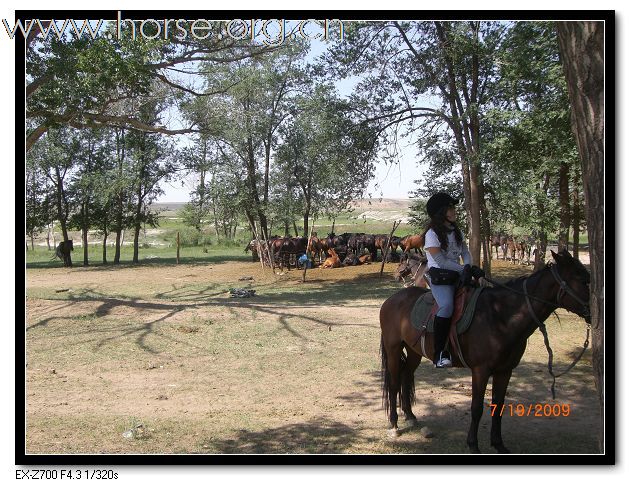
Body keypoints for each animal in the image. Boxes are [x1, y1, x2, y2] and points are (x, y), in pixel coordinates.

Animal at [380, 251, 592, 452]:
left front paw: (498, 444)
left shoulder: (505, 371)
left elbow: (498, 406)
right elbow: (476, 408)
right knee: (394, 382)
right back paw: (394, 424)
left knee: (406, 376)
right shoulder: (481, 370)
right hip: (393, 349)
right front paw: (473, 444)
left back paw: (409, 415)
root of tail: (391, 300)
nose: (593, 312)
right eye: (582, 280)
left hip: (414, 351)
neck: (500, 315)